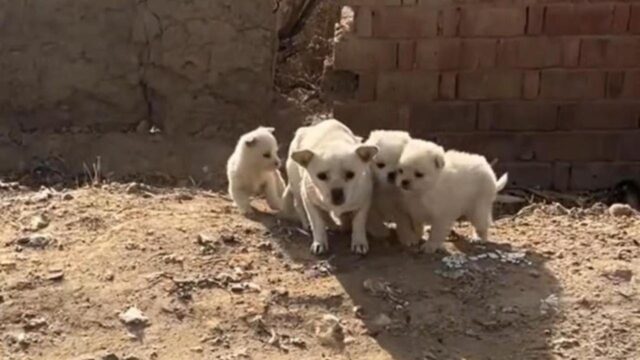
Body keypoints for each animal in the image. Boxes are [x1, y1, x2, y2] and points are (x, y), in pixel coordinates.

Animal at [282, 119, 378, 255]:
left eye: (350, 175)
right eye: (321, 176)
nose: (337, 193)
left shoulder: (364, 202)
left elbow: (358, 223)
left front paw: (359, 242)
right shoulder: (309, 200)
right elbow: (317, 223)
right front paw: (320, 242)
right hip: (297, 186)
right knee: (299, 205)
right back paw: (308, 223)